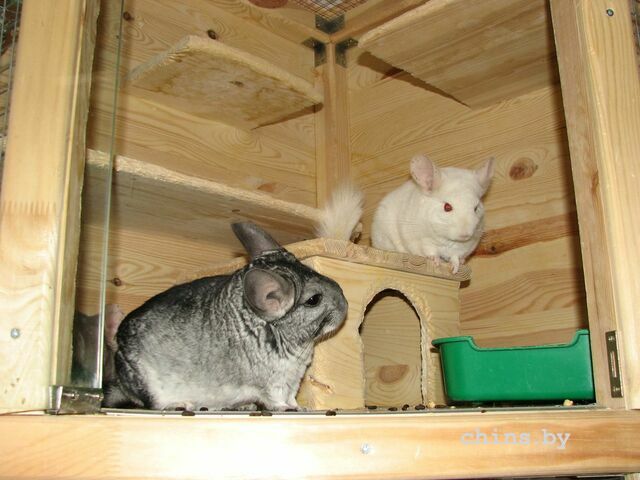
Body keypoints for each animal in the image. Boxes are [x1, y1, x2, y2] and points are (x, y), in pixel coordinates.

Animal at [103, 221, 348, 412]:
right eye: (314, 300)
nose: (346, 305)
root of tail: (120, 379)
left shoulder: (292, 379)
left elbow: (291, 397)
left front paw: (300, 407)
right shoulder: (273, 383)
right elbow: (278, 401)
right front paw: (290, 409)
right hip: (149, 385)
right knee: (154, 404)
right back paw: (180, 405)